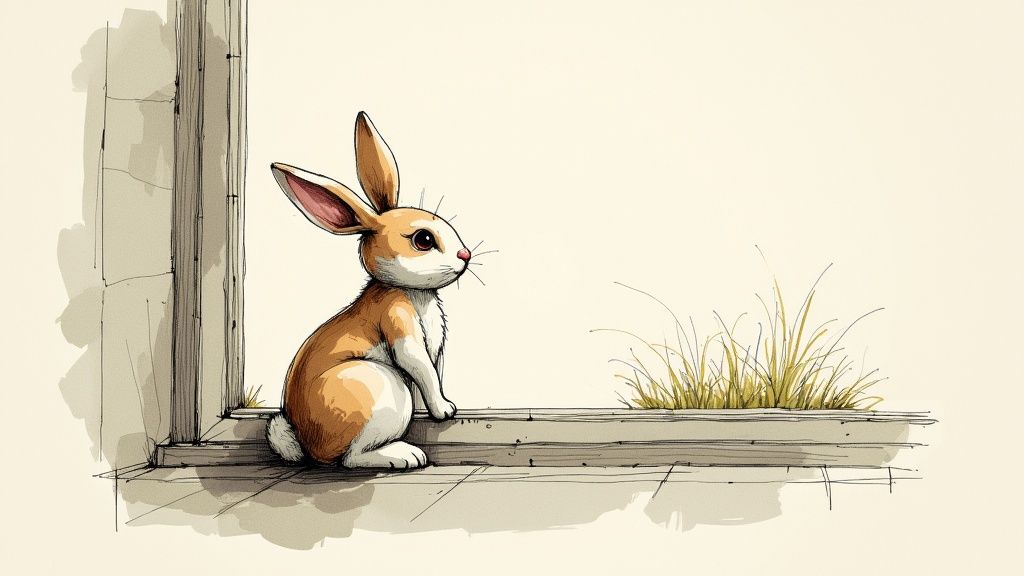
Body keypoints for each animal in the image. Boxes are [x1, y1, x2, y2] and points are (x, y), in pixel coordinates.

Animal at [265, 112, 471, 469]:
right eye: (423, 240)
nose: (465, 255)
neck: (409, 291)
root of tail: (307, 445)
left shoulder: (436, 352)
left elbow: (432, 376)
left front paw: (435, 410)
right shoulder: (399, 322)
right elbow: (421, 368)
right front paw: (445, 410)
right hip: (381, 388)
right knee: (352, 458)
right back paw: (406, 456)